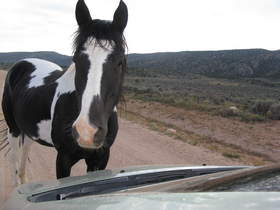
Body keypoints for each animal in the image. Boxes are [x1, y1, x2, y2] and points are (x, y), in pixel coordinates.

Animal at [1, 0, 127, 185]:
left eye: (120, 61)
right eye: (76, 59)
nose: (87, 132)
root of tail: (23, 62)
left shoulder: (100, 158)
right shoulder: (63, 159)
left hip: (29, 130)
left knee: (25, 151)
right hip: (13, 130)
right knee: (14, 160)